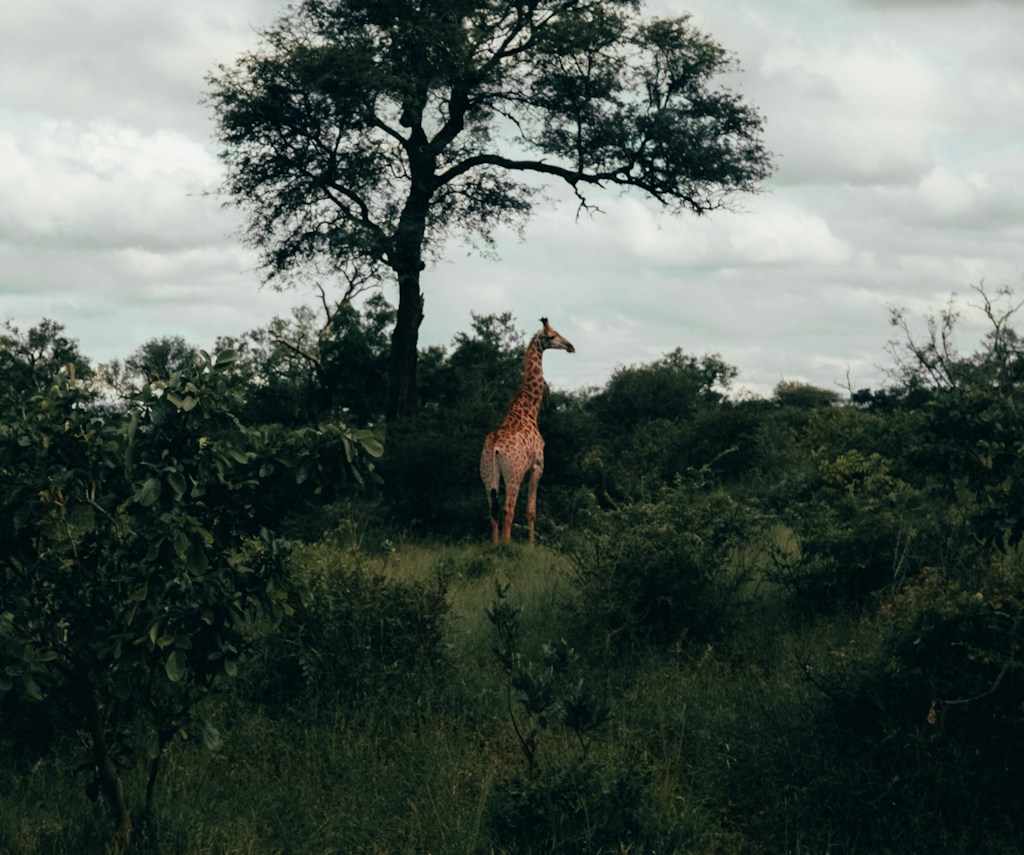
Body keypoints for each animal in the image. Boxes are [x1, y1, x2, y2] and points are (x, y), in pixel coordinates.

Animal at [480, 317, 575, 544]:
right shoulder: (537, 465)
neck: (529, 410)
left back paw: (495, 545)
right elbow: (531, 510)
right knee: (508, 509)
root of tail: (494, 447)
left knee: (492, 510)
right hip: (513, 475)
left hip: (487, 475)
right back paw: (506, 545)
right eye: (551, 336)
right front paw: (532, 545)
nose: (570, 346)